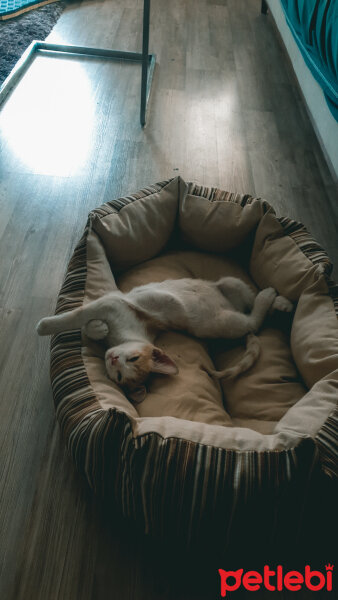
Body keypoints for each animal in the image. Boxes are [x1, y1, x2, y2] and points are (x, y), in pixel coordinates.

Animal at [35, 276, 292, 404]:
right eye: (118, 375)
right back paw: (281, 302)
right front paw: (97, 328)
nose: (114, 359)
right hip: (231, 284)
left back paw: (270, 298)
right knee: (252, 301)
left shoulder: (110, 303)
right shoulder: (109, 305)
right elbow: (88, 323)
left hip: (226, 321)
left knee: (255, 318)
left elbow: (74, 316)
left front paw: (43, 325)